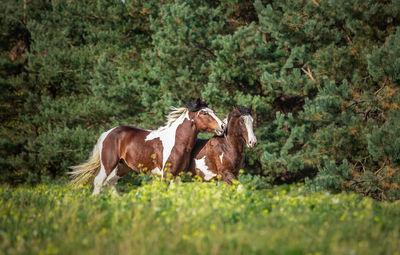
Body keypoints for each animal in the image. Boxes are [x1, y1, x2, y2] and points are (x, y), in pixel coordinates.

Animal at [69, 98, 225, 193]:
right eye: (204, 113)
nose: (223, 126)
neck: (178, 142)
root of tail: (107, 133)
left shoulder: (177, 175)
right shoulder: (166, 175)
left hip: (122, 166)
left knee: (111, 182)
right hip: (109, 163)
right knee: (99, 181)